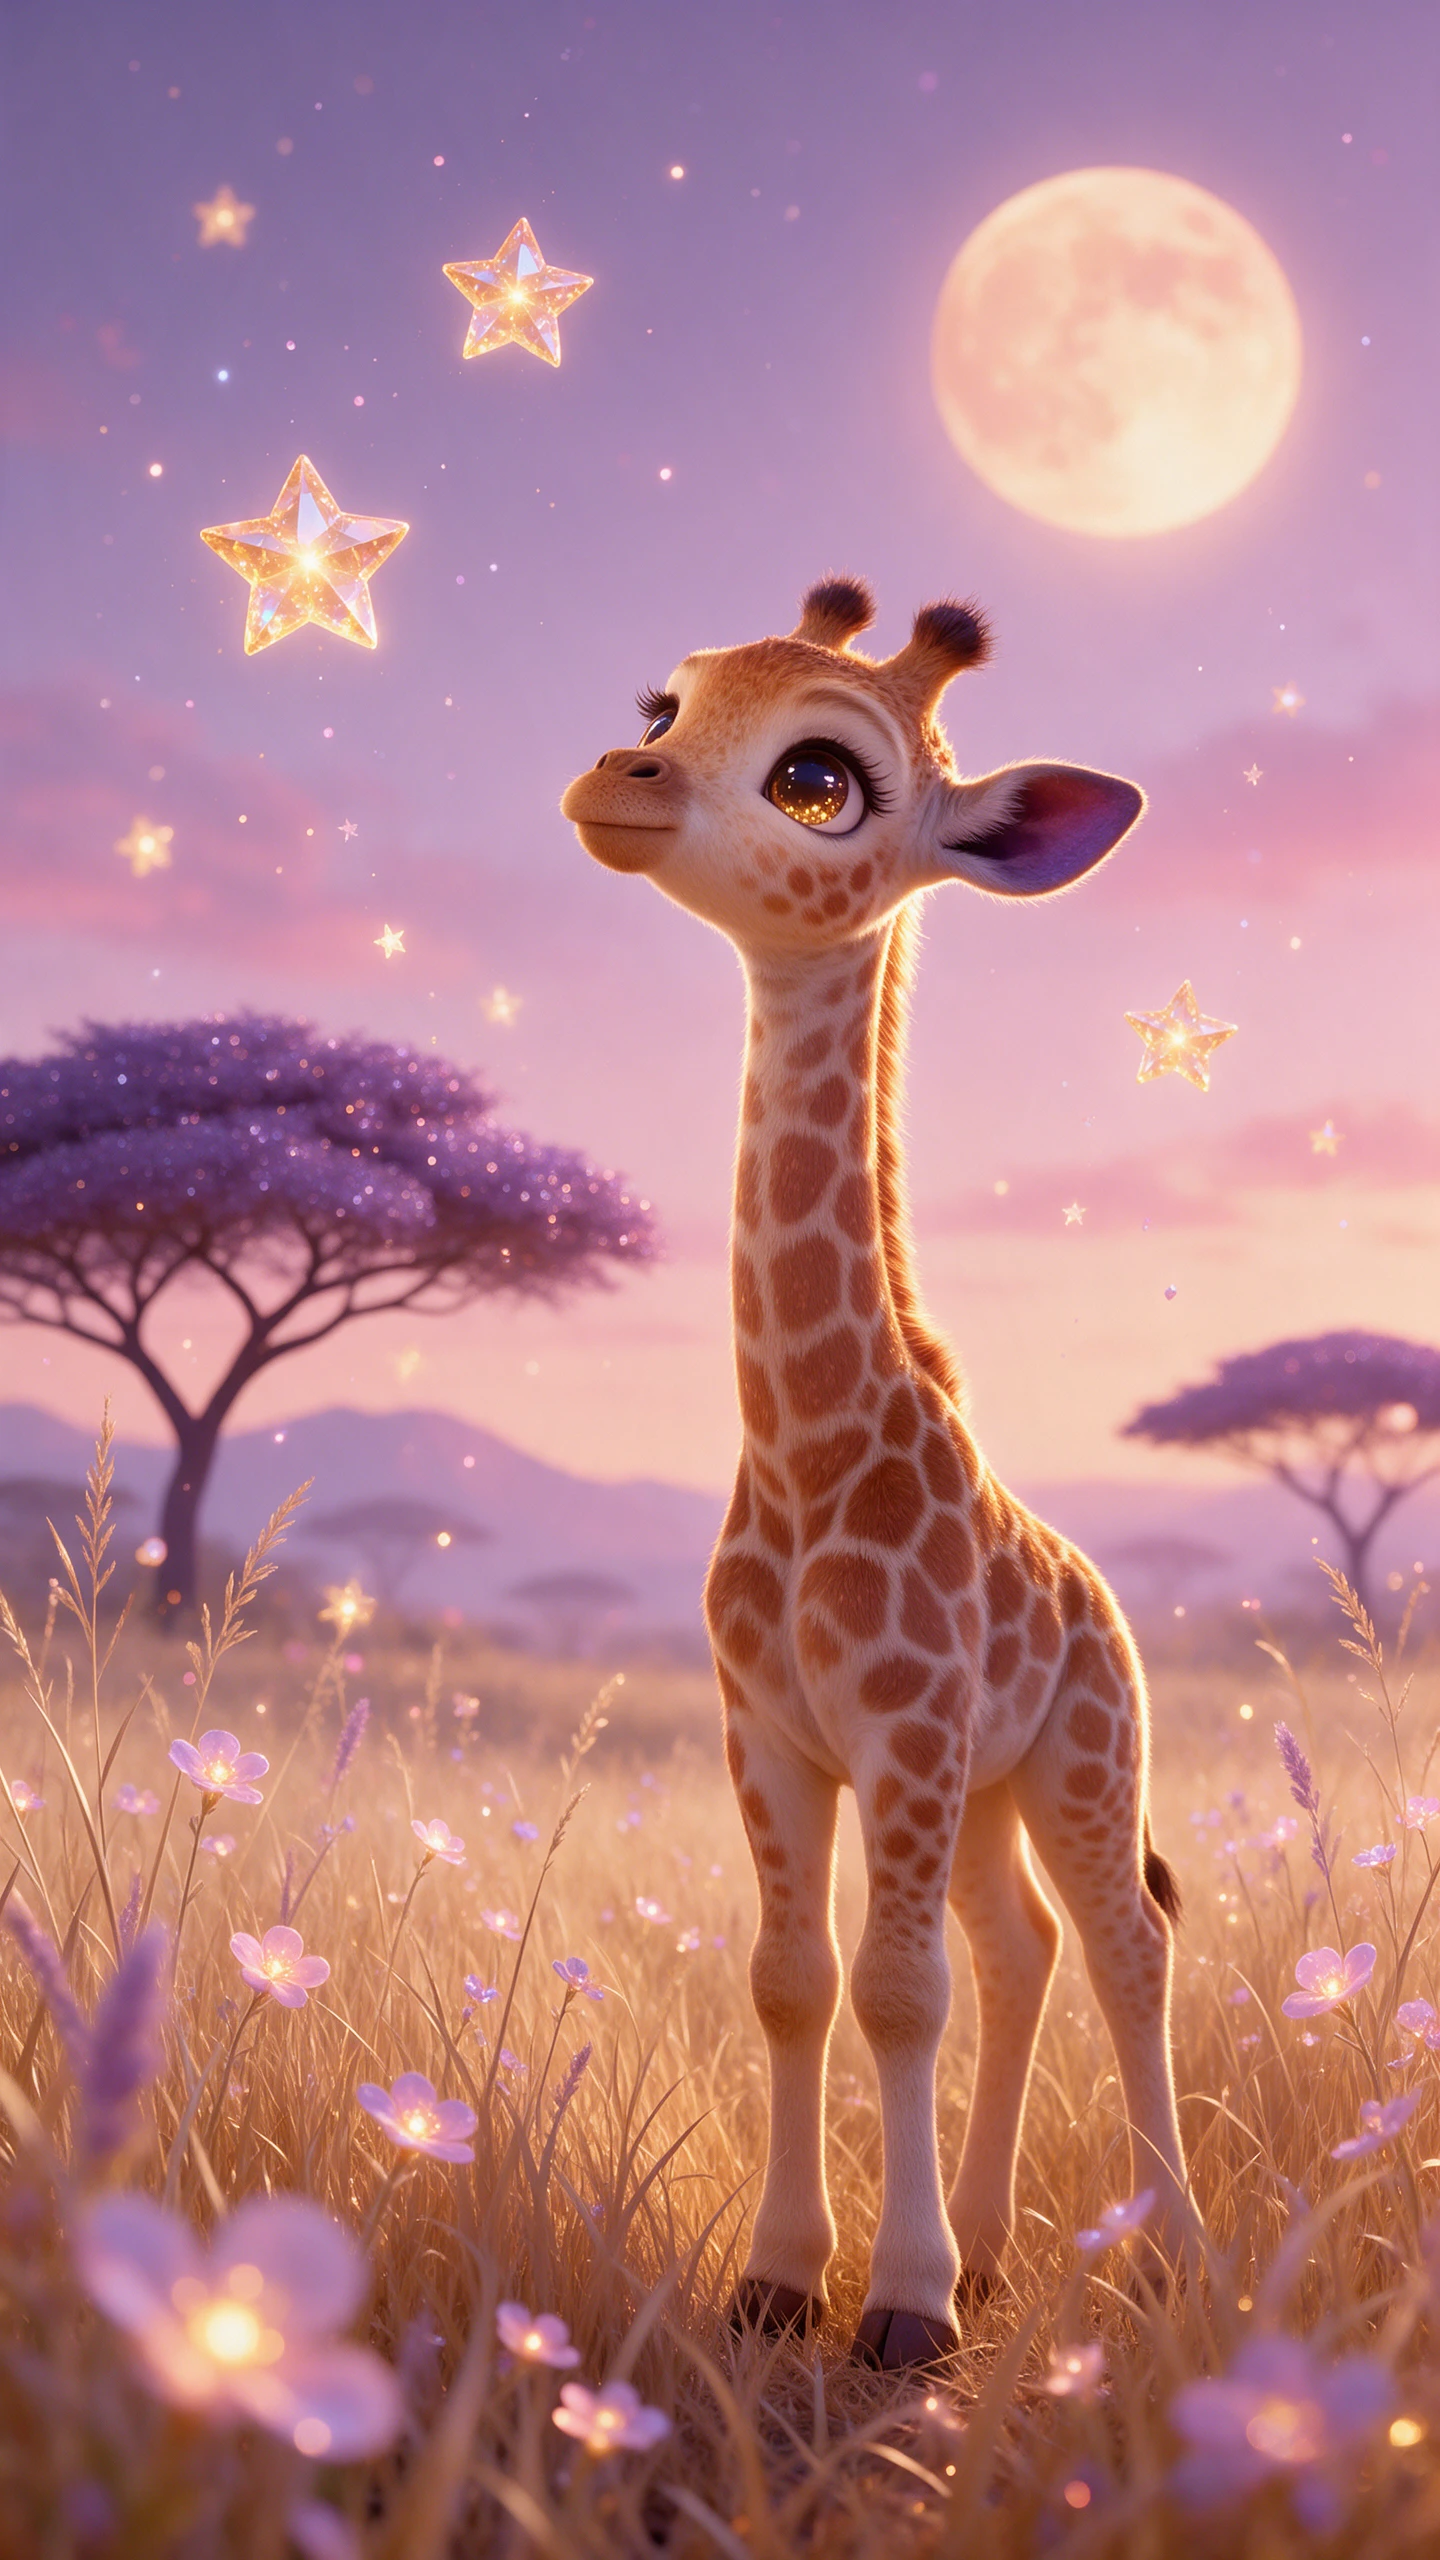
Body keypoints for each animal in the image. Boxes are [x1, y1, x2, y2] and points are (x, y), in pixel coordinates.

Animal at [561, 577, 1193, 2370]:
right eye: (664, 703)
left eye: (819, 780)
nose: (612, 781)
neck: (808, 1451)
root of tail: (1101, 1594)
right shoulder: (770, 1730)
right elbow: (790, 1976)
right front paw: (788, 2282)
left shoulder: (904, 1728)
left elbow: (897, 1991)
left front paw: (902, 2312)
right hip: (982, 1792)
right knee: (1022, 1945)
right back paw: (994, 2248)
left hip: (1079, 1754)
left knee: (1121, 1945)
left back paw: (1170, 2260)